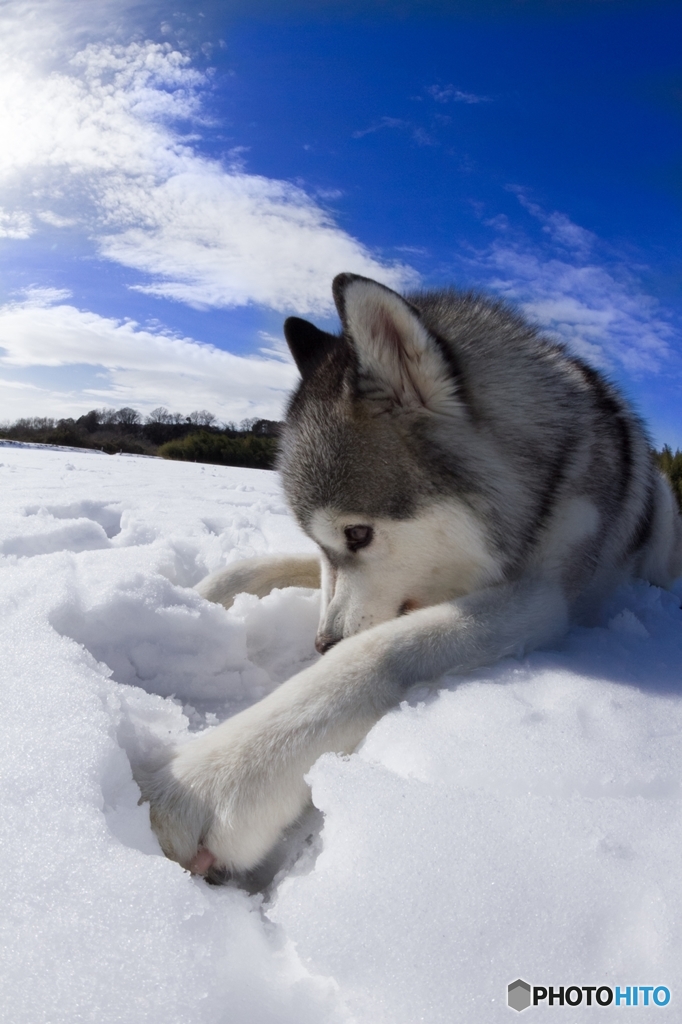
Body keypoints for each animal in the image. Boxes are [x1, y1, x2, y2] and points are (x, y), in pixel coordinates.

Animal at [139, 274, 679, 880]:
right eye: (329, 540)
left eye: (358, 534)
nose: (322, 643)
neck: (542, 481)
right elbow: (268, 563)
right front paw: (187, 597)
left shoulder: (541, 597)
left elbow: (379, 650)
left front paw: (214, 773)